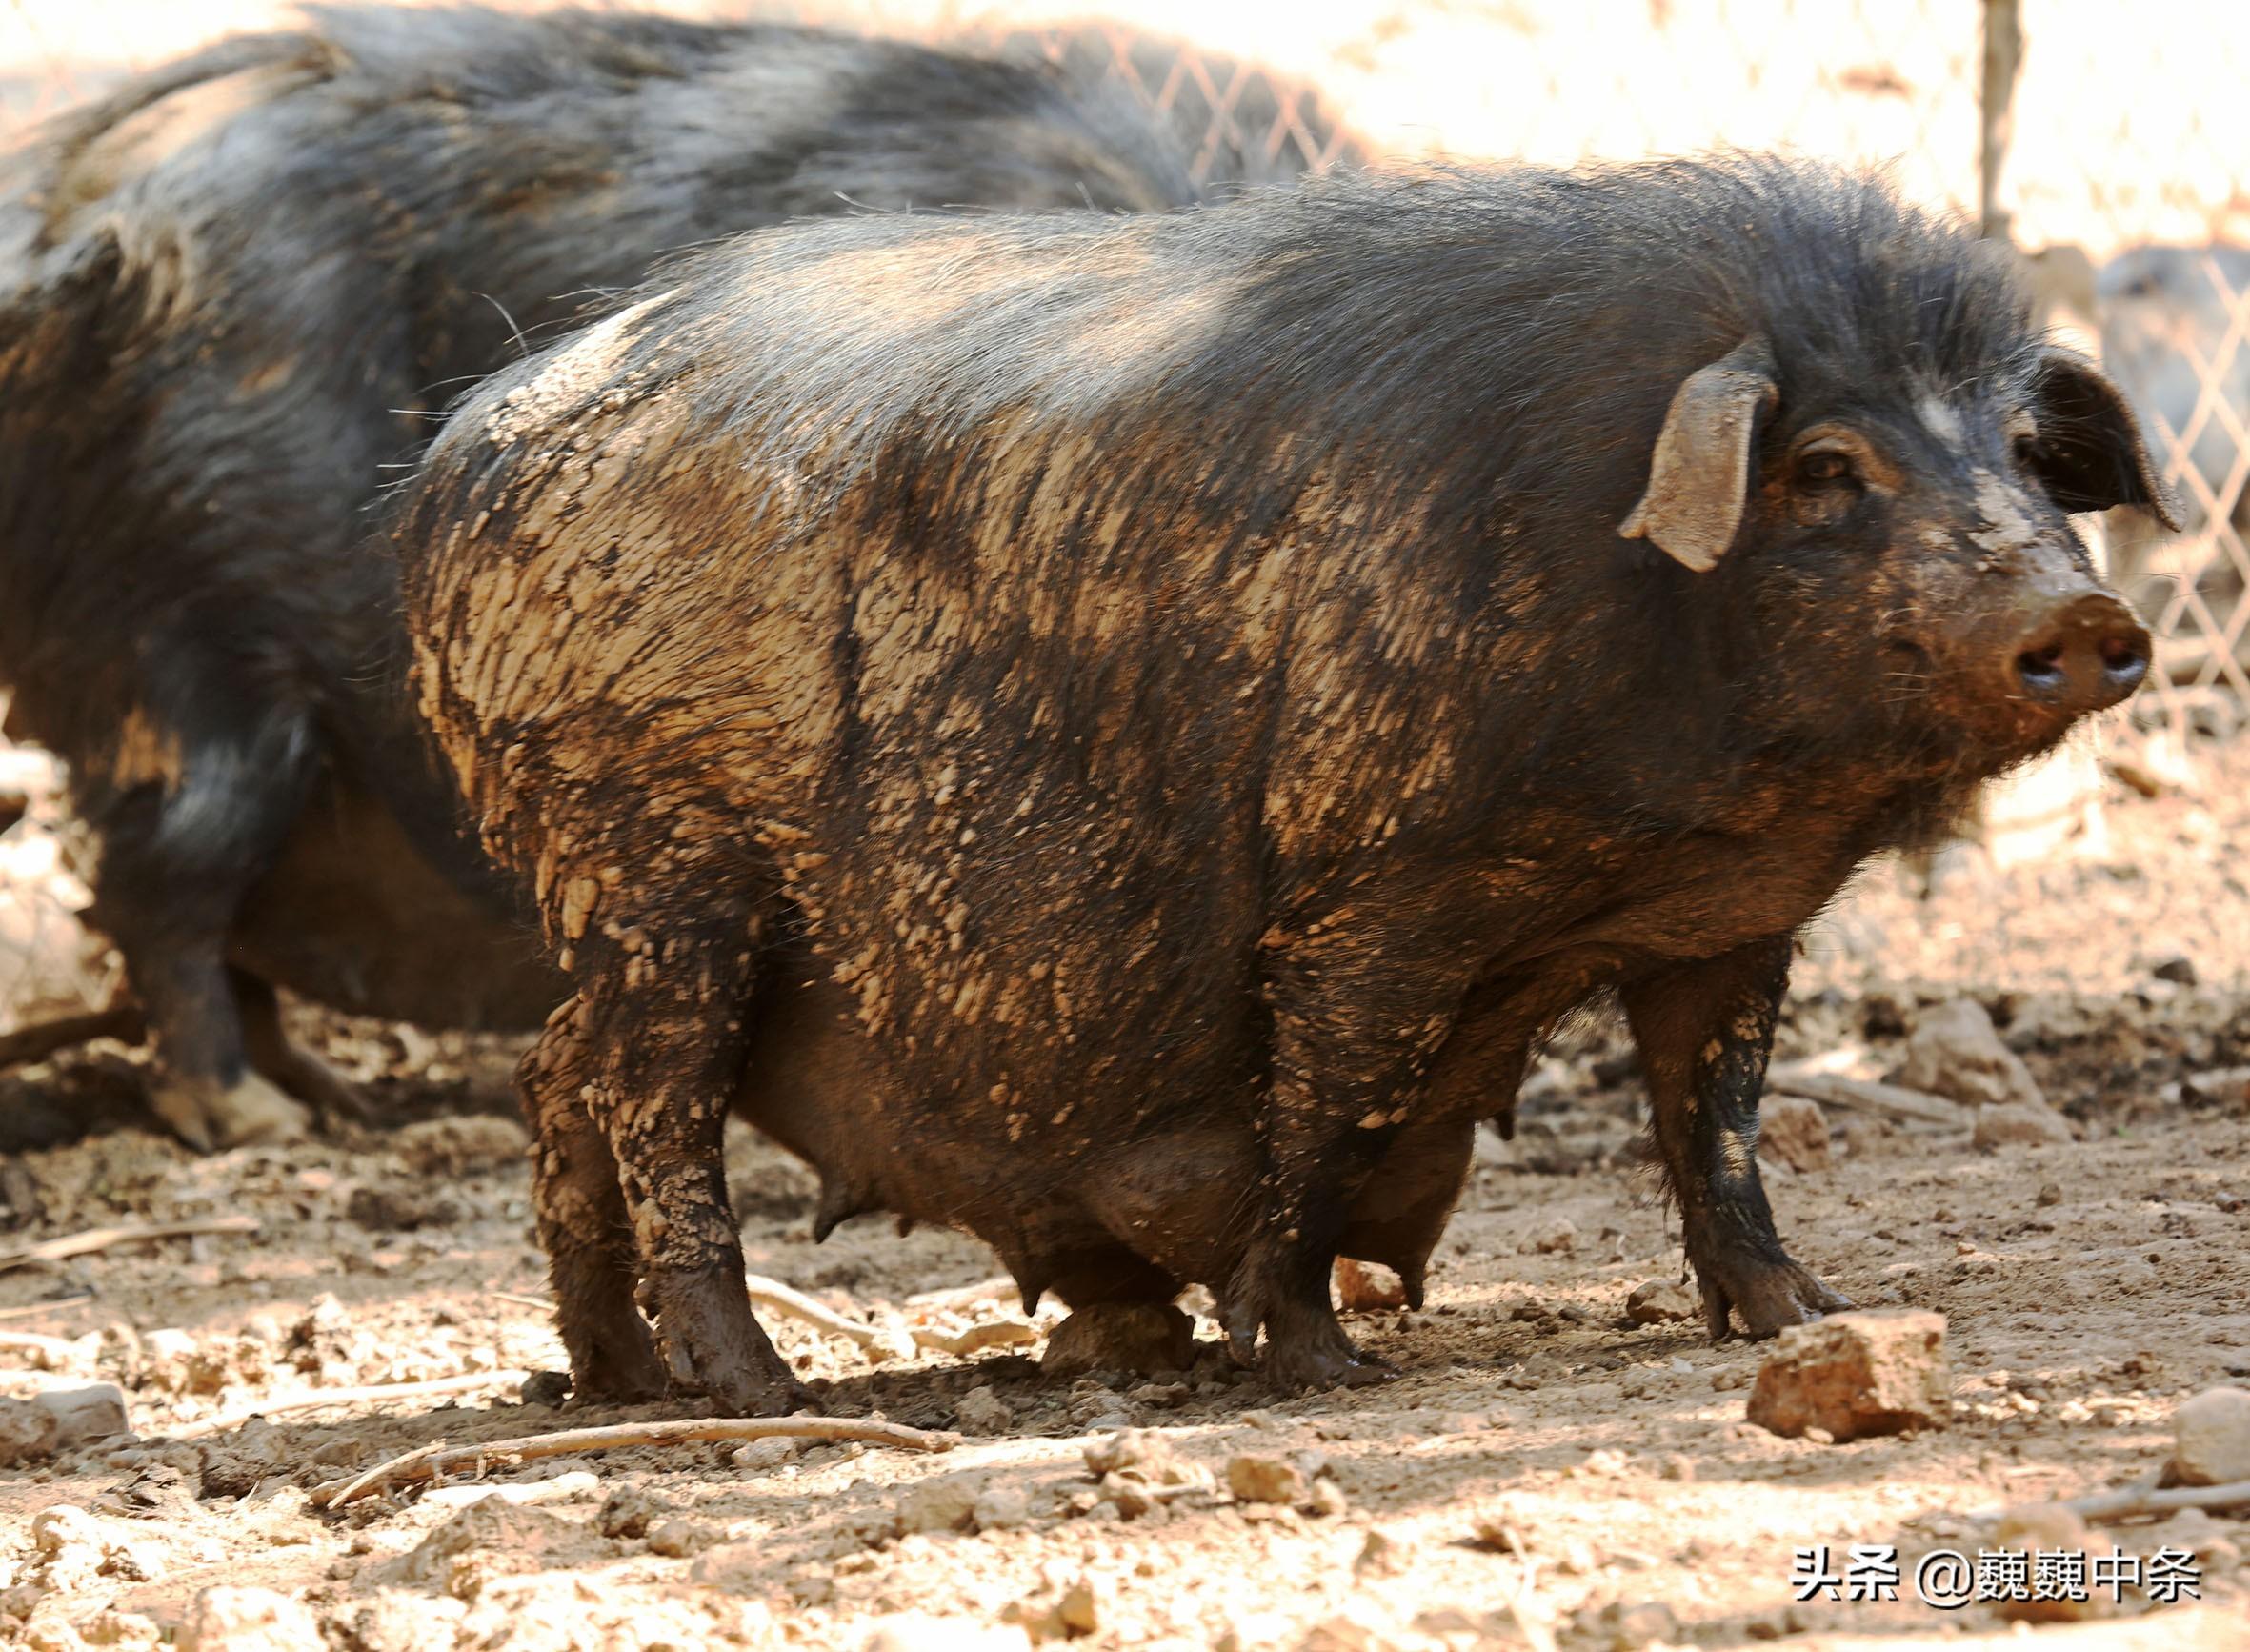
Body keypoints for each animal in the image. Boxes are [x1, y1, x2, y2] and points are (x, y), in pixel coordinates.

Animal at [400, 155, 2178, 1413]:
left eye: (2027, 458)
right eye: (1824, 469)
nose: (2086, 616)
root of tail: (463, 458)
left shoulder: (1727, 924)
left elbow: (1713, 1121)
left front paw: (1812, 1316)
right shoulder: (1377, 888)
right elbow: (1332, 1101)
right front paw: (1316, 1357)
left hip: (628, 900)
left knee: (554, 1074)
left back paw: (612, 1377)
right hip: (657, 858)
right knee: (650, 1102)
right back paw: (754, 1390)